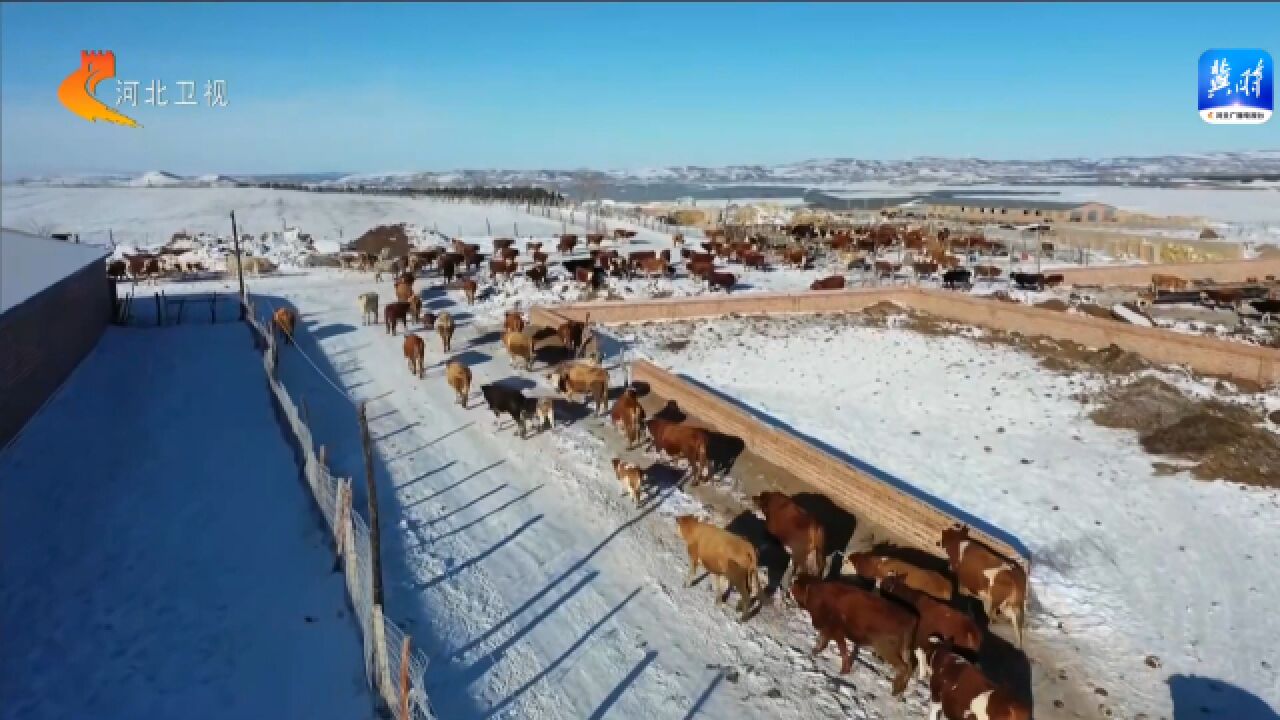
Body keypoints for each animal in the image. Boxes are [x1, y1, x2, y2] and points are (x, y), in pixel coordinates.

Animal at [783, 571, 916, 691]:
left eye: (795, 584)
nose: (788, 588)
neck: (818, 593)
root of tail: (910, 620)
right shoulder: (828, 628)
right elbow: (823, 642)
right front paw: (814, 652)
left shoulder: (836, 630)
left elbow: (842, 650)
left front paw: (843, 671)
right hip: (903, 650)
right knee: (911, 667)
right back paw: (900, 690)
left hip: (886, 648)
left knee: (904, 667)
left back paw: (896, 689)